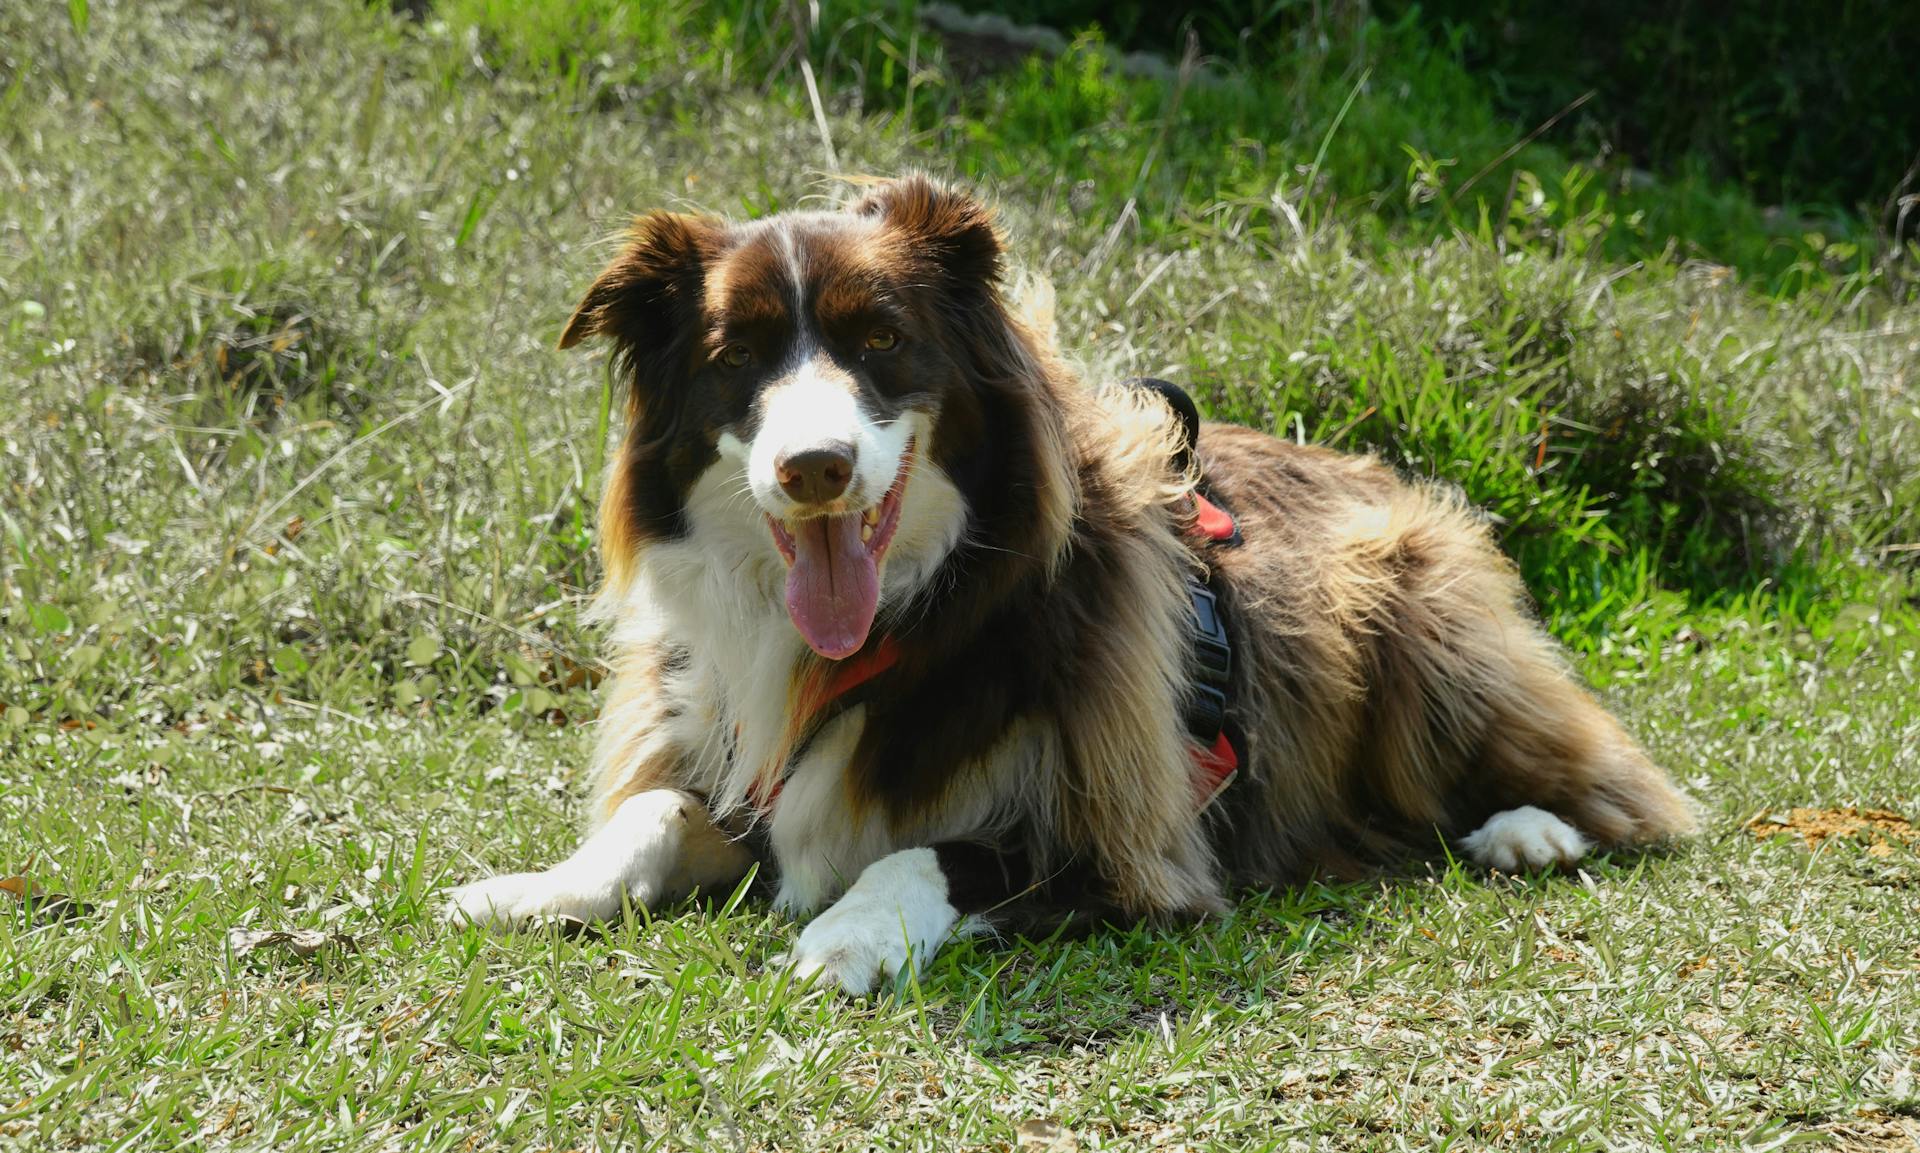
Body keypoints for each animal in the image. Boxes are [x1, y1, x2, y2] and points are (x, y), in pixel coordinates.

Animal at [449, 175, 1697, 989]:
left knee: (1619, 787)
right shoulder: (743, 755)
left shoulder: (1125, 838)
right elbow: (656, 808)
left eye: (882, 340)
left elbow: (930, 850)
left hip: (1414, 617)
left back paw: (1531, 830)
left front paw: (847, 935)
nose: (815, 470)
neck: (922, 615)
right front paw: (534, 886)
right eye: (735, 356)